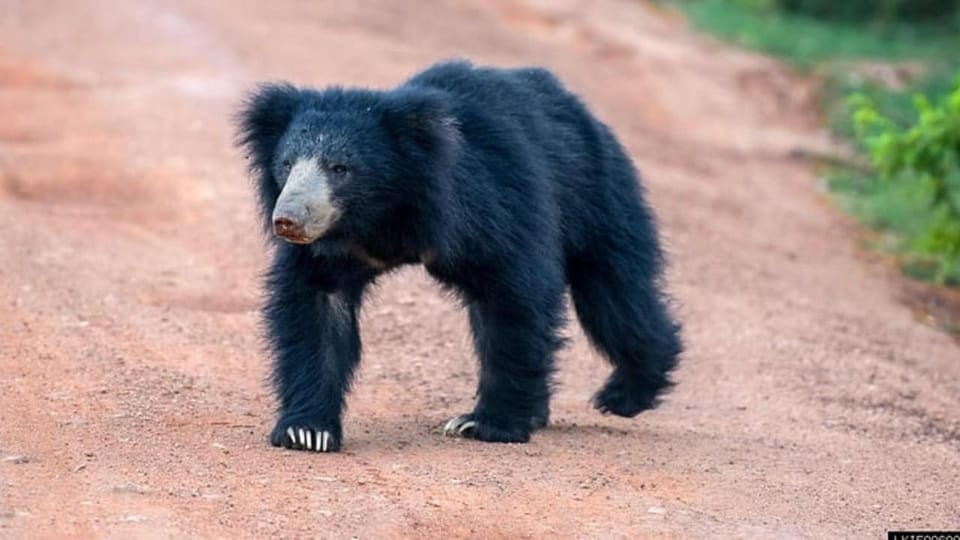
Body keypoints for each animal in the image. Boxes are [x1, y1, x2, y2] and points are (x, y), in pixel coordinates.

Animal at [236, 61, 680, 454]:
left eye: (340, 168)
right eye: (286, 164)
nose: (287, 220)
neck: (384, 216)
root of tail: (581, 110)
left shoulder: (491, 206)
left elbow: (514, 299)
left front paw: (486, 425)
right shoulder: (331, 248)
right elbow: (317, 309)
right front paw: (306, 432)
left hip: (598, 194)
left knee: (614, 297)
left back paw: (624, 394)